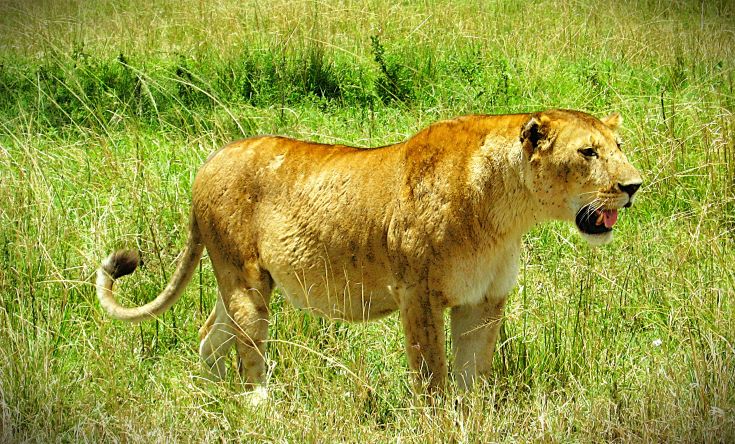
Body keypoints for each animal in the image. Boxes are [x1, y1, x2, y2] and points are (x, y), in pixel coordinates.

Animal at [96, 109, 642, 392]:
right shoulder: (418, 296)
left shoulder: (484, 301)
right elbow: (432, 377)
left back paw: (214, 398)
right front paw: (439, 425)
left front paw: (472, 420)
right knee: (248, 349)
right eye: (588, 152)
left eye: (618, 146)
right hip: (246, 281)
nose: (634, 185)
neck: (506, 214)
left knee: (211, 335)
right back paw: (255, 405)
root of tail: (211, 160)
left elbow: (474, 377)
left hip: (234, 282)